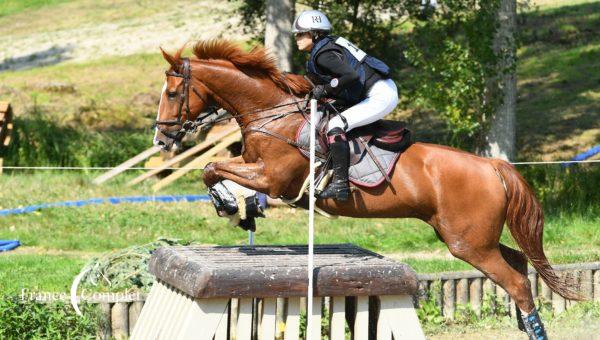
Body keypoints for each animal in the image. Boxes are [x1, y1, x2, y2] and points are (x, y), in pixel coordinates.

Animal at [155, 39, 580, 322]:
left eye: (173, 93)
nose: (161, 138)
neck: (271, 113)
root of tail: (493, 166)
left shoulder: (274, 179)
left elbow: (213, 168)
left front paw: (229, 206)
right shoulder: (255, 167)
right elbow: (214, 170)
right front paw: (237, 210)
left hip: (468, 243)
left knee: (518, 283)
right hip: (470, 237)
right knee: (520, 264)